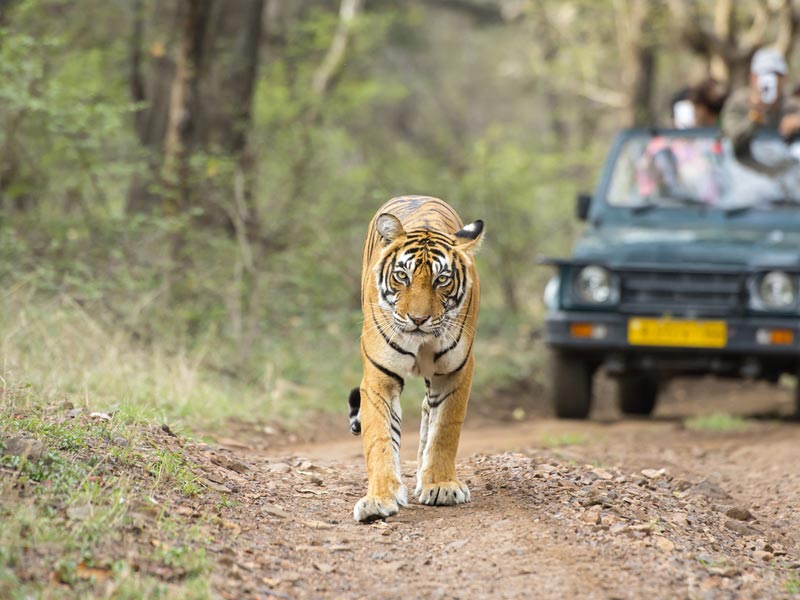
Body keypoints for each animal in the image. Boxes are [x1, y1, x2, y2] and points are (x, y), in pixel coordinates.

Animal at [348, 196, 482, 520]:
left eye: (442, 279)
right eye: (402, 276)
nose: (418, 319)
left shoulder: (456, 372)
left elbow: (444, 429)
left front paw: (441, 485)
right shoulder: (379, 377)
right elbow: (380, 437)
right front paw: (379, 499)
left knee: (427, 413)